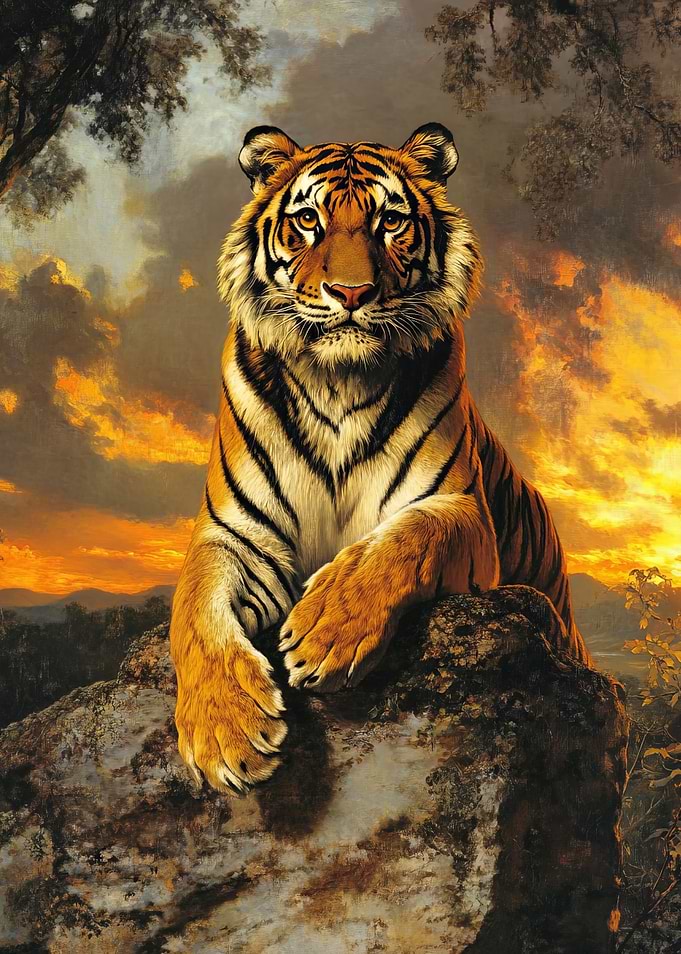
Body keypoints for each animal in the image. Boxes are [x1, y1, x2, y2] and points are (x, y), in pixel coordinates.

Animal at [170, 122, 592, 795]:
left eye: (390, 221)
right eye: (308, 219)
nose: (351, 293)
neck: (337, 382)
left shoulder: (457, 507)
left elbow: (401, 543)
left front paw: (324, 632)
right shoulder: (235, 533)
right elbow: (193, 610)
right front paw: (225, 730)